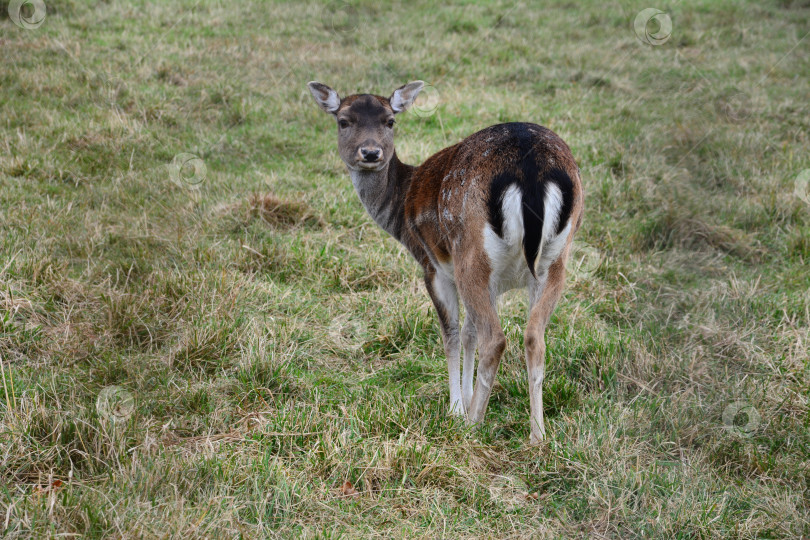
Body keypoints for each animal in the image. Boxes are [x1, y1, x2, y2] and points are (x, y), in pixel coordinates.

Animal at [308, 80, 580, 442]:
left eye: (390, 121)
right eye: (344, 121)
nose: (370, 153)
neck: (401, 208)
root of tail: (531, 168)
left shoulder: (432, 266)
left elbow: (450, 333)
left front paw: (456, 409)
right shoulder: (492, 282)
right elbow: (468, 333)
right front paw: (465, 396)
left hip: (471, 254)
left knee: (496, 338)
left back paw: (473, 425)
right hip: (553, 261)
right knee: (534, 336)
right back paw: (538, 437)